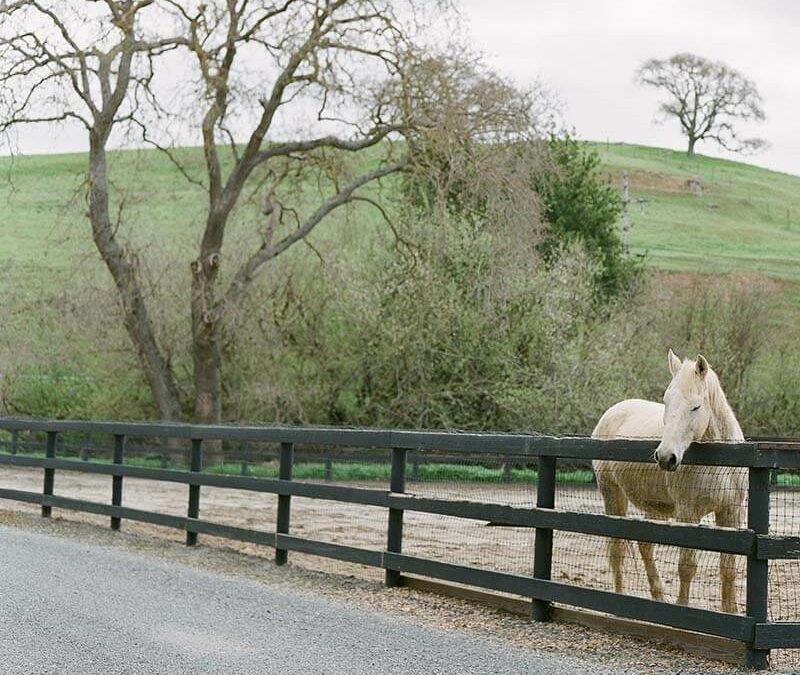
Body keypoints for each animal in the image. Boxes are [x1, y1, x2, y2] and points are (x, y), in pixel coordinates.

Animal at [592, 352, 748, 616]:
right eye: (666, 401)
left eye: (696, 406)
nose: (666, 457)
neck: (721, 461)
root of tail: (612, 411)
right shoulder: (688, 514)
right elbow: (687, 566)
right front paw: (683, 608)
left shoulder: (731, 512)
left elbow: (728, 568)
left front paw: (731, 613)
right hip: (613, 496)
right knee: (617, 550)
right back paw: (619, 599)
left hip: (655, 507)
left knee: (645, 546)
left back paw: (658, 597)